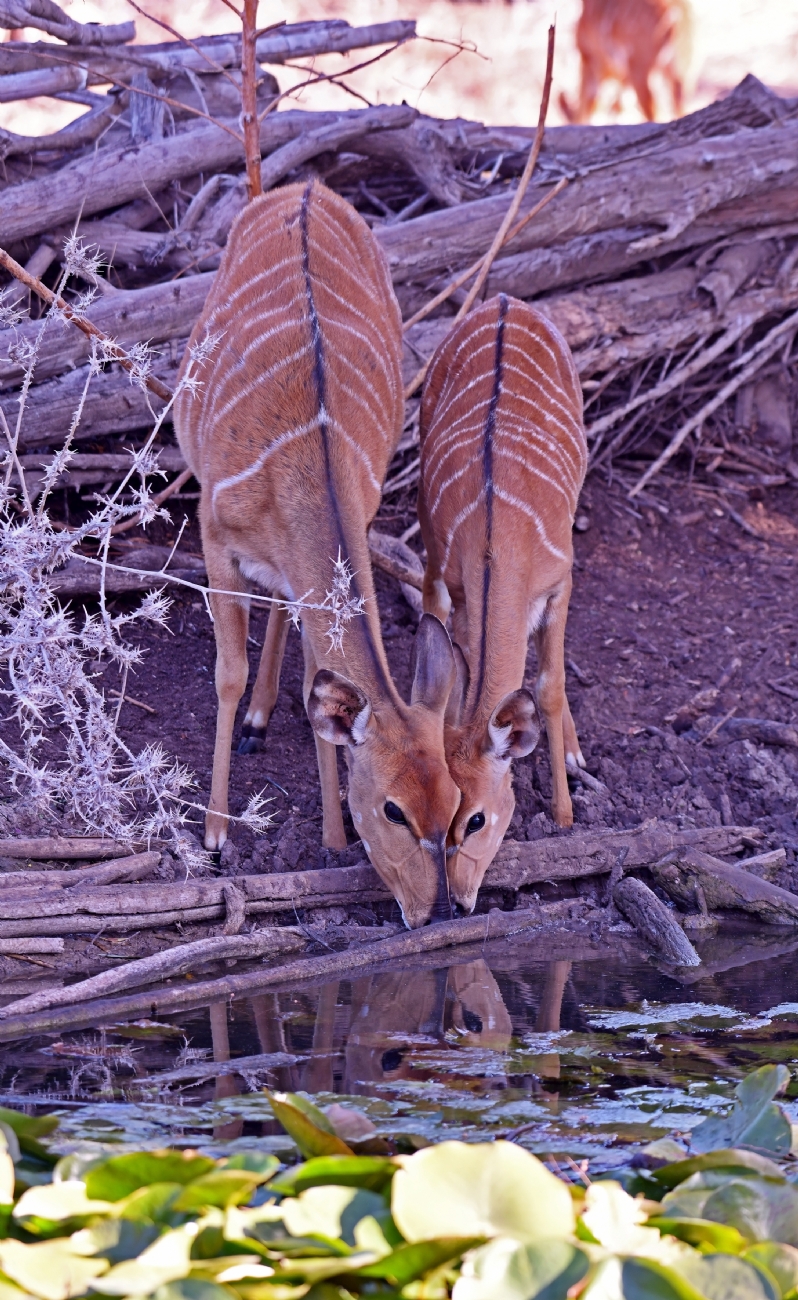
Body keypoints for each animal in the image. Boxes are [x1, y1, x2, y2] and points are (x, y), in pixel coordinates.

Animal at [175, 185, 462, 935]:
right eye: (392, 810)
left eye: (456, 807)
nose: (435, 911)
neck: (309, 465)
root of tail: (309, 188)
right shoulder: (212, 533)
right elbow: (227, 672)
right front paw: (214, 836)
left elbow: (316, 688)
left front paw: (331, 840)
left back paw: (260, 721)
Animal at [418, 292, 587, 915]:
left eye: (477, 819)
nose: (459, 901)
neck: (499, 540)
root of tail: (505, 299)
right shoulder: (455, 581)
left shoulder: (561, 580)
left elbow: (549, 686)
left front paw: (563, 815)